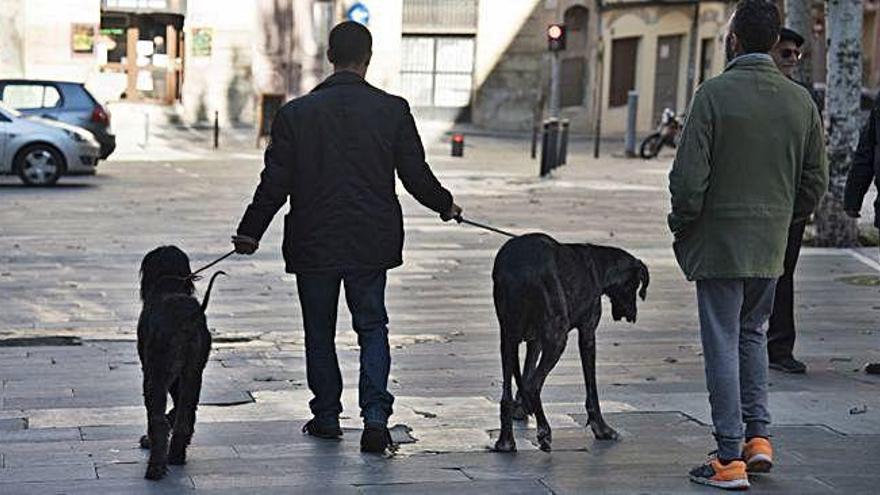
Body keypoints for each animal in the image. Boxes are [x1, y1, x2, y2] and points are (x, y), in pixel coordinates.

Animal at [137, 247, 223, 480]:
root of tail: (188, 317)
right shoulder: (184, 374)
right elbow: (178, 409)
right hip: (193, 371)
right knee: (186, 414)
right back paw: (176, 455)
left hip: (157, 374)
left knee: (157, 421)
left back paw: (156, 466)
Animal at [492, 234, 648, 456]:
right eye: (634, 284)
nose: (632, 315)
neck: (598, 266)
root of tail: (518, 268)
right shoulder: (587, 333)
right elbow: (591, 387)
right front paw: (602, 428)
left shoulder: (535, 340)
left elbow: (527, 369)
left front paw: (521, 409)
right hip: (558, 336)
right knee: (534, 386)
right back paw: (544, 431)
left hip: (508, 338)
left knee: (510, 393)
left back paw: (506, 441)